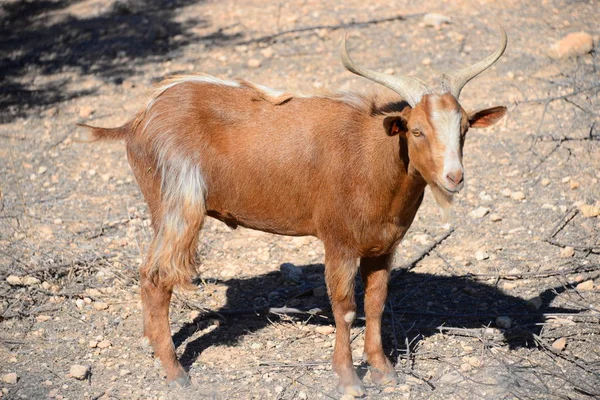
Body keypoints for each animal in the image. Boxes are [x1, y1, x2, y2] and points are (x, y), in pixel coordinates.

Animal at [82, 28, 508, 396]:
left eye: (465, 128)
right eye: (416, 130)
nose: (454, 177)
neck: (371, 157)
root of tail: (138, 119)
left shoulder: (383, 247)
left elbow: (376, 304)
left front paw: (384, 371)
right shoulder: (339, 242)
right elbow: (345, 309)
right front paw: (349, 379)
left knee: (146, 273)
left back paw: (152, 345)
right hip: (177, 203)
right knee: (158, 275)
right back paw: (175, 373)